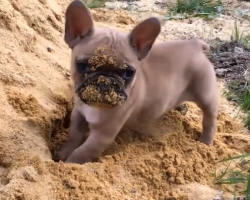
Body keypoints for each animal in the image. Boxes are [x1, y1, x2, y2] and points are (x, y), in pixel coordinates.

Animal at [59, 0, 218, 164]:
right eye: (82, 66)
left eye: (128, 73)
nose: (105, 81)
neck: (95, 107)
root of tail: (195, 45)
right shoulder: (79, 114)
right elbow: (74, 135)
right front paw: (64, 154)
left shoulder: (102, 135)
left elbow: (82, 152)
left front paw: (70, 164)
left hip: (205, 95)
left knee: (209, 118)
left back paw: (205, 142)